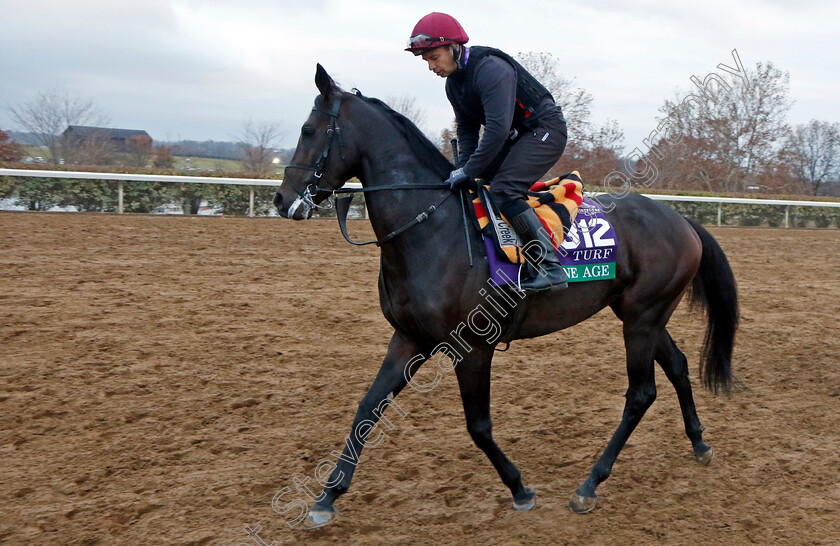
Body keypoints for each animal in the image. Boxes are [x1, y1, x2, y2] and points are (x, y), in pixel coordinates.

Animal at [272, 66, 740, 524]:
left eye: (308, 130)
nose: (282, 200)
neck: (431, 230)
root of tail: (681, 220)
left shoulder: (471, 347)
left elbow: (478, 426)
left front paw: (520, 489)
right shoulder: (409, 338)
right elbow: (368, 407)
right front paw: (327, 496)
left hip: (643, 318)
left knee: (640, 394)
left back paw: (590, 484)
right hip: (640, 314)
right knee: (678, 366)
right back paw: (699, 444)